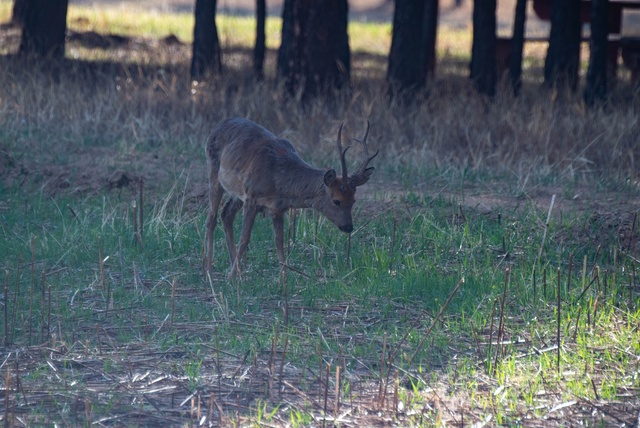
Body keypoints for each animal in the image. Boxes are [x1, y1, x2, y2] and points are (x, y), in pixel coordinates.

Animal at [202, 117, 378, 280]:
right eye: (336, 200)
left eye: (353, 200)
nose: (348, 227)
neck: (278, 179)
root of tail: (219, 125)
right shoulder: (251, 197)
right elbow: (245, 238)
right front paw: (230, 278)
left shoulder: (277, 208)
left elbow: (279, 242)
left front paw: (284, 278)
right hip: (214, 169)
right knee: (211, 218)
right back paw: (209, 270)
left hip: (237, 193)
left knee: (226, 214)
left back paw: (236, 270)